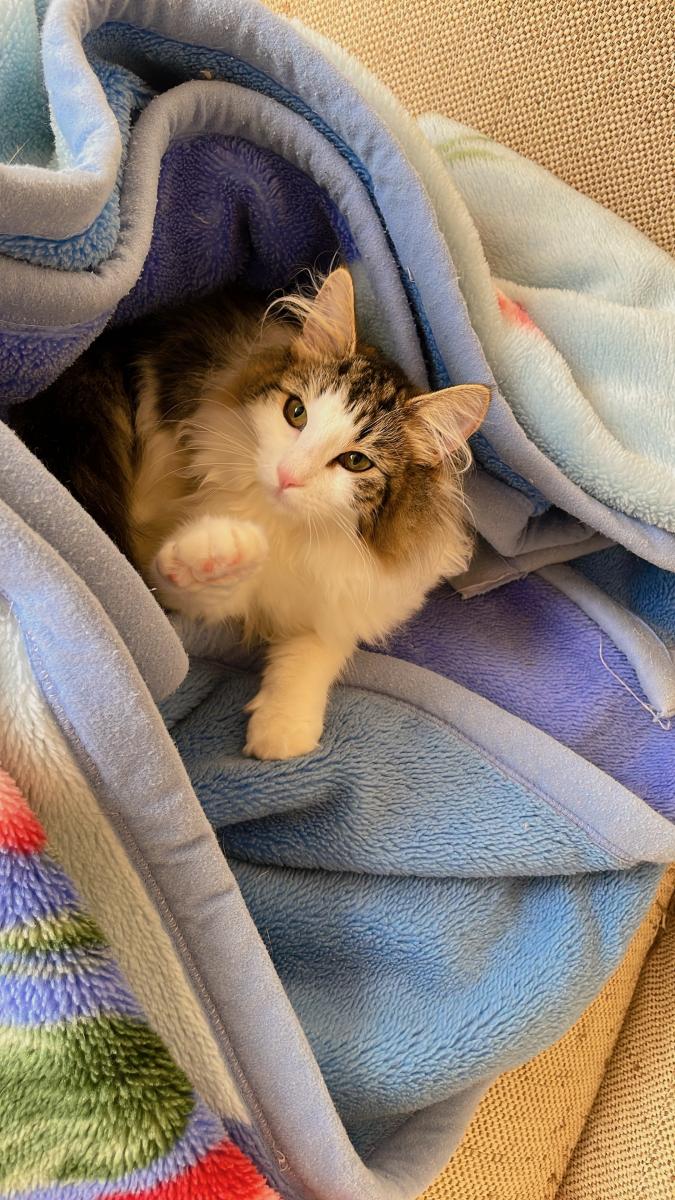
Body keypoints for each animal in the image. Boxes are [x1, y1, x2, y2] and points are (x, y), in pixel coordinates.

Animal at [10, 268, 489, 759]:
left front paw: (283, 729)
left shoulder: (347, 596)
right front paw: (217, 552)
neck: (285, 530)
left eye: (356, 461)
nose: (287, 475)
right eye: (296, 413)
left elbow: (316, 650)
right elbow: (190, 579)